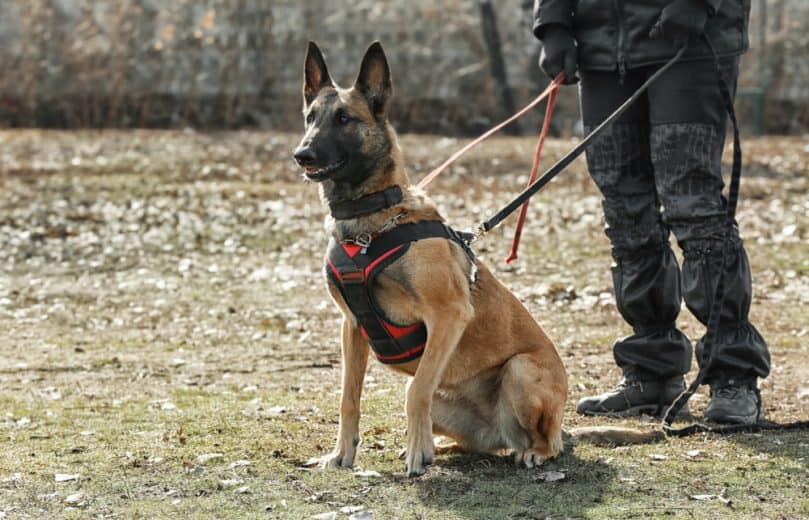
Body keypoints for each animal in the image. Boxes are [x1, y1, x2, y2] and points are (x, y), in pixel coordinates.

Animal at [294, 42, 660, 478]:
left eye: (344, 118)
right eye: (310, 117)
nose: (302, 154)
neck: (371, 223)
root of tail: (506, 432)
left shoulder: (448, 315)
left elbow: (419, 391)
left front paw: (417, 454)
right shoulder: (352, 326)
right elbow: (348, 398)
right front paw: (342, 455)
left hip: (520, 370)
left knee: (545, 443)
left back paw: (531, 452)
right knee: (475, 442)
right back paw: (446, 446)